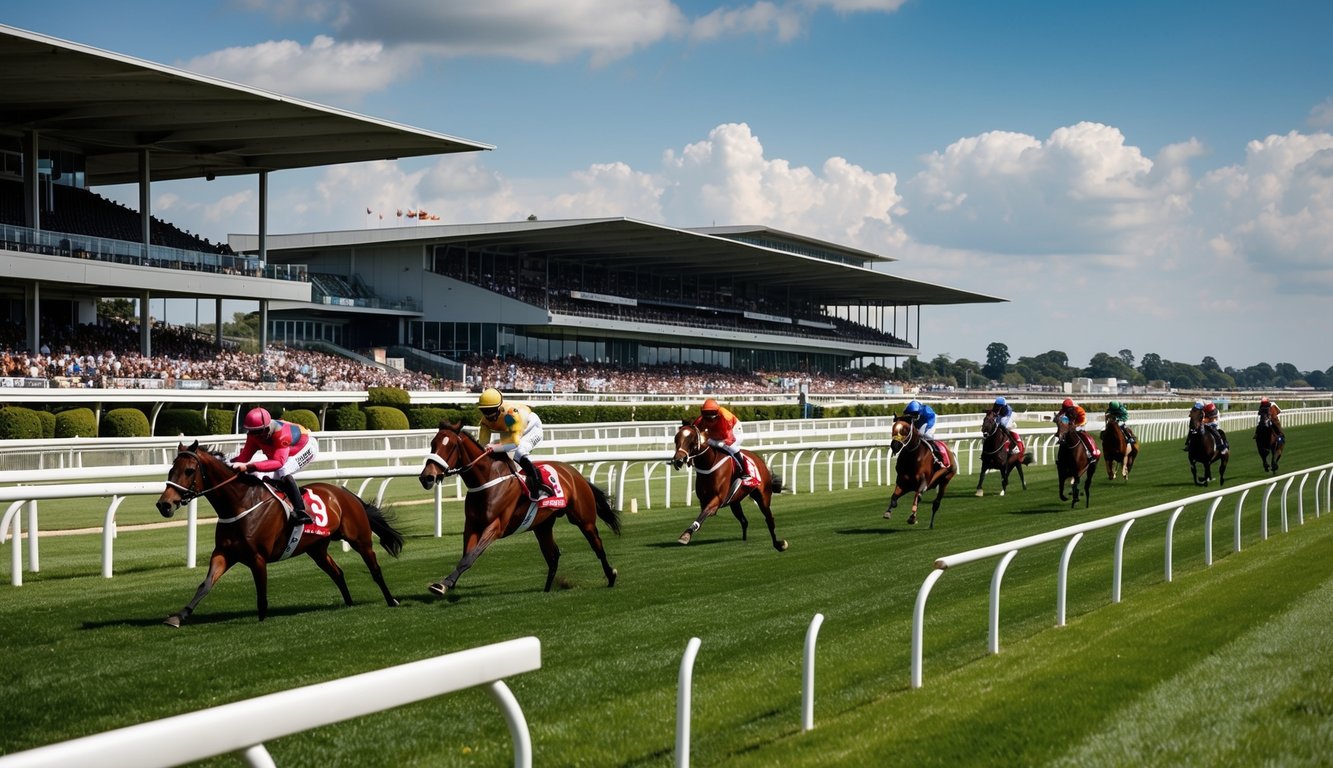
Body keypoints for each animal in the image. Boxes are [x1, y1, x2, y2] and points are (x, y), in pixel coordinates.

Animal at [153, 440, 402, 626]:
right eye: (171, 470)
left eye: (189, 470)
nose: (164, 504)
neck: (240, 503)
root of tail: (345, 493)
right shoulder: (224, 553)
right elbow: (205, 584)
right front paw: (179, 616)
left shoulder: (257, 557)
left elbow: (261, 592)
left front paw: (262, 620)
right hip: (316, 548)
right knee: (337, 572)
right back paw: (349, 603)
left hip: (360, 539)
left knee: (375, 570)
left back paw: (392, 600)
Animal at [418, 424, 621, 597]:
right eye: (433, 444)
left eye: (451, 446)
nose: (427, 477)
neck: (487, 481)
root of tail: (574, 474)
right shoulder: (472, 526)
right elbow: (465, 555)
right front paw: (446, 583)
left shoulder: (495, 527)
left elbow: (470, 557)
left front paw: (444, 584)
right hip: (542, 526)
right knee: (553, 556)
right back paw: (547, 590)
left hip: (584, 520)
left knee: (597, 546)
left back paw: (611, 576)